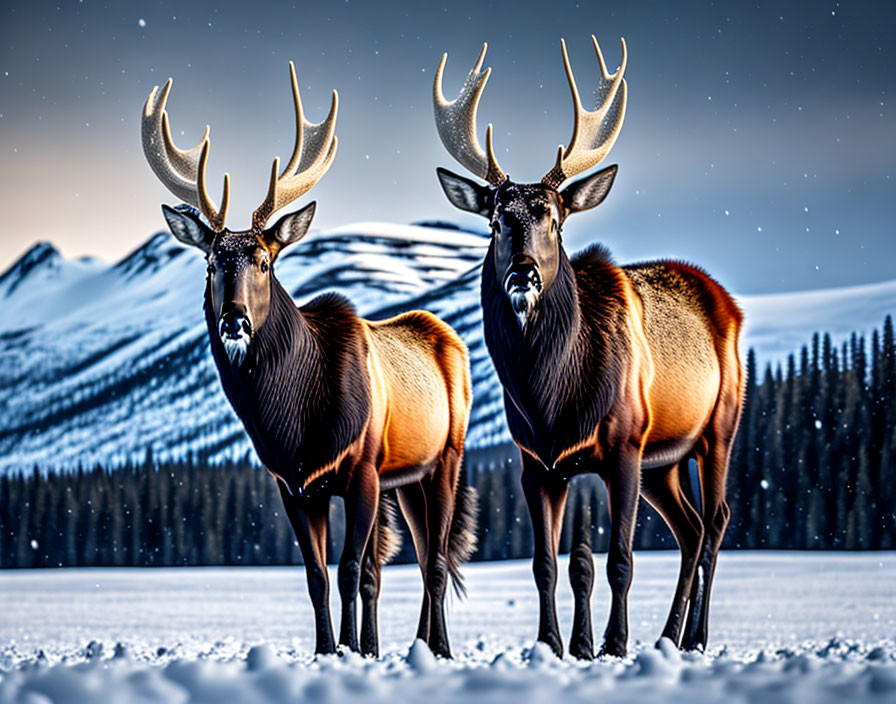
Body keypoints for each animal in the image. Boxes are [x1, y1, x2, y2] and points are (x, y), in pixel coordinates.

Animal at [142, 63, 476, 656]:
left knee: (436, 559)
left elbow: (347, 571)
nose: (234, 320)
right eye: (210, 263)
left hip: (446, 457)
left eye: (264, 260)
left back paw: (438, 648)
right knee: (408, 560)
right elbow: (318, 576)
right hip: (405, 478)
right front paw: (331, 649)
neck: (293, 423)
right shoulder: (293, 483)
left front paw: (349, 649)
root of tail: (450, 337)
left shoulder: (361, 469)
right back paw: (406, 645)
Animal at [434, 37, 744, 656]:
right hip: (663, 462)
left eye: (555, 219)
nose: (524, 272)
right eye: (496, 221)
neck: (550, 398)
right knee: (691, 527)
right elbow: (548, 565)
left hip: (718, 426)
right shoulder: (538, 460)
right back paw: (669, 636)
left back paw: (695, 638)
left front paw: (612, 644)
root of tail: (727, 302)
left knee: (718, 519)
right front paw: (555, 644)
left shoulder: (623, 444)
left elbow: (619, 559)